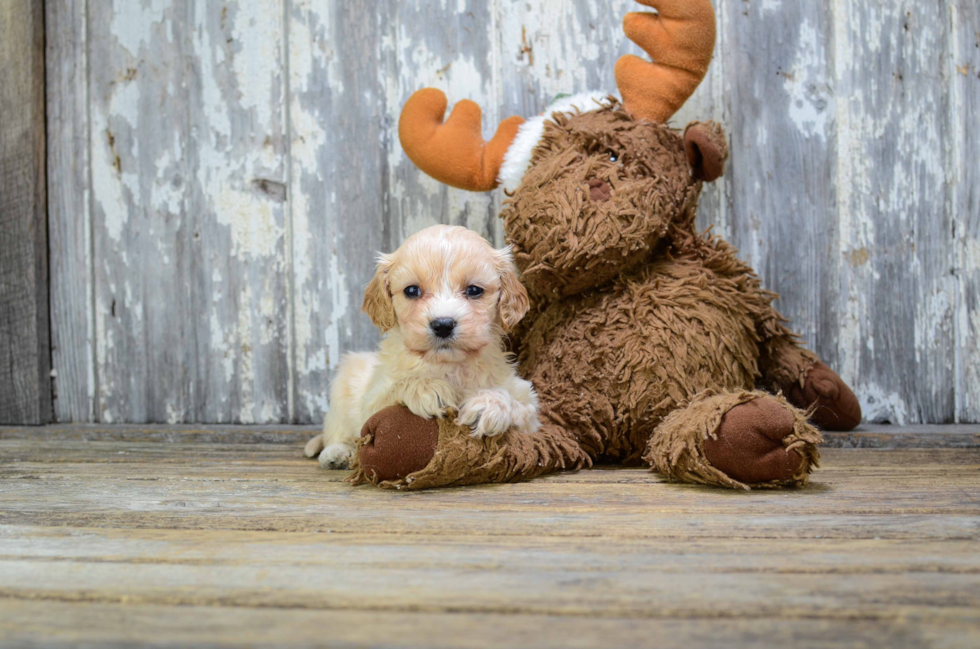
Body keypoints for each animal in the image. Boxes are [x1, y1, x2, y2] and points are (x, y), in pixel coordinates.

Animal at [304, 223, 540, 466]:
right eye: (411, 290)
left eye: (474, 290)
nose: (443, 325)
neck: (448, 365)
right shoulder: (371, 401)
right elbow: (396, 388)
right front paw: (427, 388)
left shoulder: (530, 411)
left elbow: (518, 404)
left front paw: (489, 404)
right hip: (342, 386)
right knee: (337, 430)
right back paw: (337, 453)